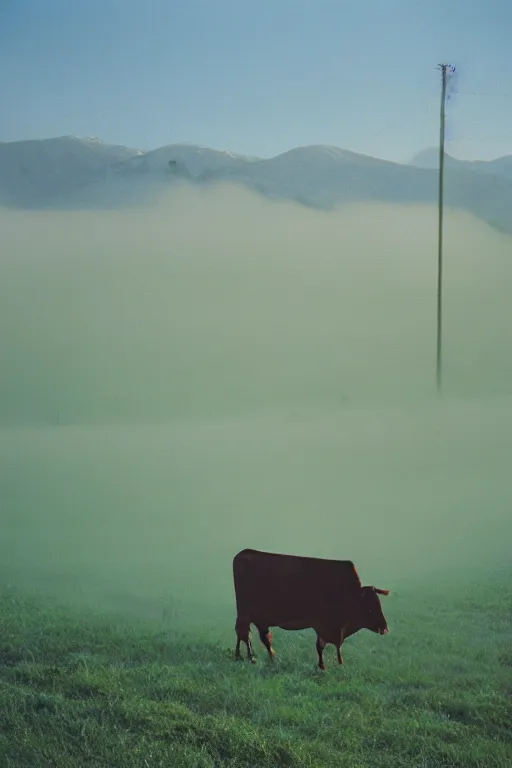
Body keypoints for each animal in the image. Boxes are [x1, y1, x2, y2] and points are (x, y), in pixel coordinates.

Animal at [234, 548, 390, 668]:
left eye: (379, 605)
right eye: (369, 609)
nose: (385, 629)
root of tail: (244, 553)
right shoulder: (323, 624)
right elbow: (320, 646)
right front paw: (322, 666)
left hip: (259, 618)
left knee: (261, 638)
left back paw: (260, 657)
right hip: (244, 614)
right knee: (244, 634)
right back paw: (250, 658)